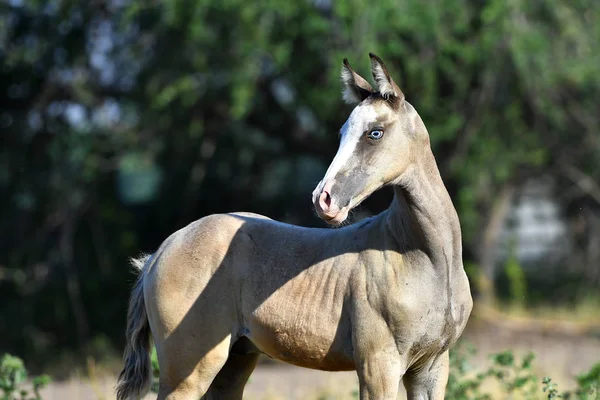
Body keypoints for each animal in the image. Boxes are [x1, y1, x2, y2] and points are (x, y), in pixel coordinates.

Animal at [117, 54, 474, 400]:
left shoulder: (432, 367)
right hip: (187, 372)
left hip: (235, 362)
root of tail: (160, 253)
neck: (420, 257)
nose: (323, 199)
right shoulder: (378, 366)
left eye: (375, 132)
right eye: (342, 133)